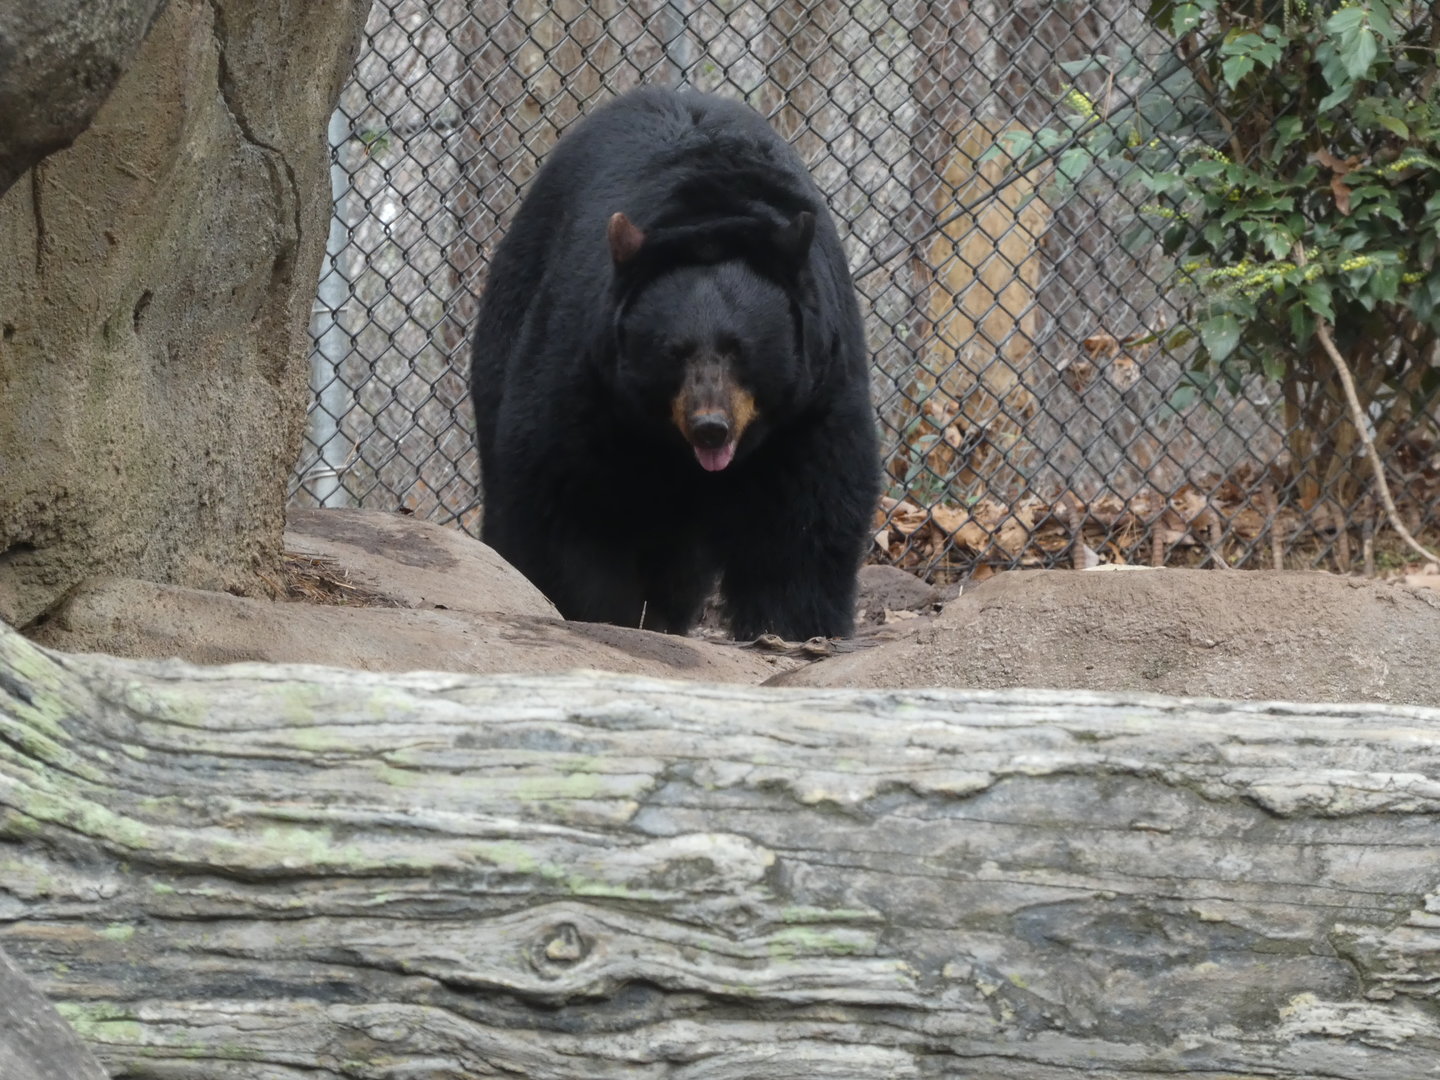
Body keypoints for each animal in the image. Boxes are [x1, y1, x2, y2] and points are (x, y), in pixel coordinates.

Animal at [469, 86, 880, 640]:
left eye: (740, 348)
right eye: (673, 351)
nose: (711, 427)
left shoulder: (816, 393)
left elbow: (809, 514)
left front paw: (793, 625)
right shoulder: (589, 374)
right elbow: (564, 494)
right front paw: (600, 613)